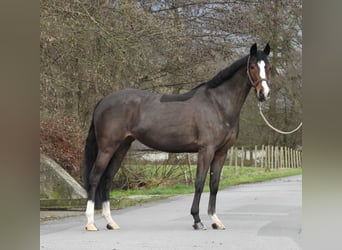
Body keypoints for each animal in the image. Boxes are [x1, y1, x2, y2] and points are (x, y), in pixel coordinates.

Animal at [82, 42, 270, 230]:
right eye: (253, 66)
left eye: (268, 66)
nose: (264, 93)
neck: (218, 104)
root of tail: (103, 101)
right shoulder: (206, 150)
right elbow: (199, 183)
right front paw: (197, 220)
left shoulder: (221, 153)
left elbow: (214, 185)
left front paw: (215, 220)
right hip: (107, 148)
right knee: (95, 178)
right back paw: (90, 223)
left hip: (122, 147)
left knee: (107, 179)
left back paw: (110, 222)